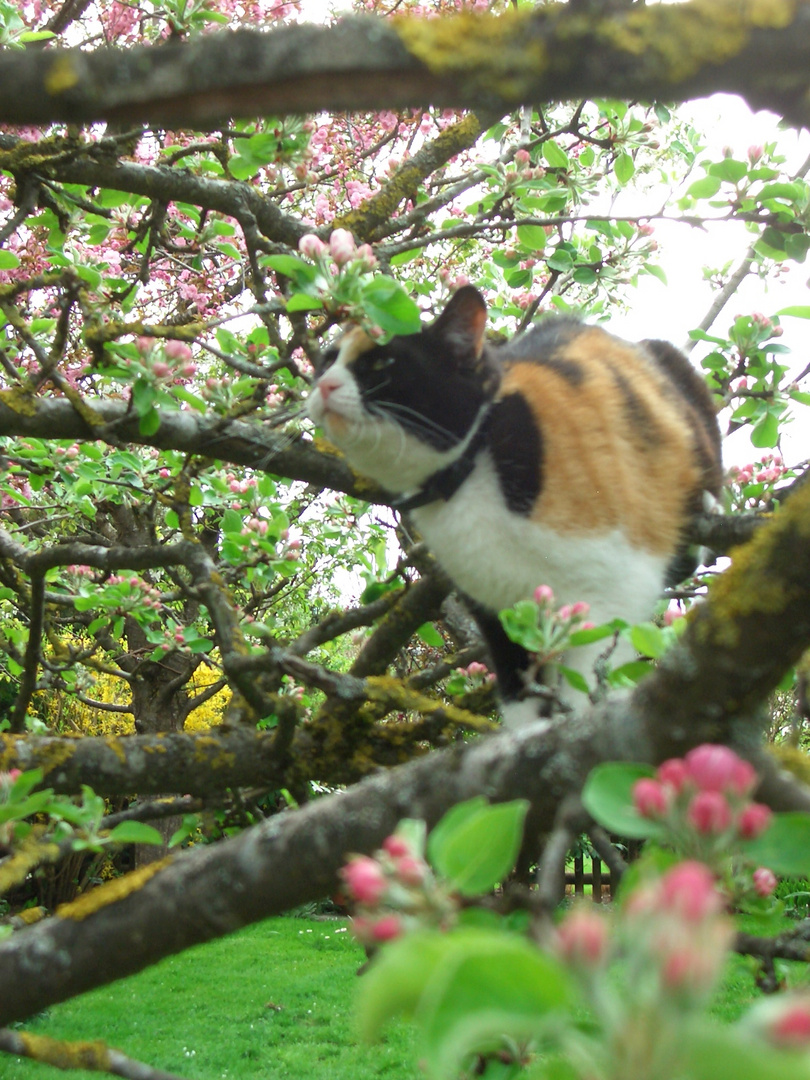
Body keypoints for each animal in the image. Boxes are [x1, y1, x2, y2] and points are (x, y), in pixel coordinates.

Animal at [308, 287, 721, 725]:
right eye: (327, 361)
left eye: (382, 362)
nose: (325, 385)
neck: (472, 469)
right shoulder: (498, 612)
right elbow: (520, 692)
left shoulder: (614, 589)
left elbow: (587, 684)